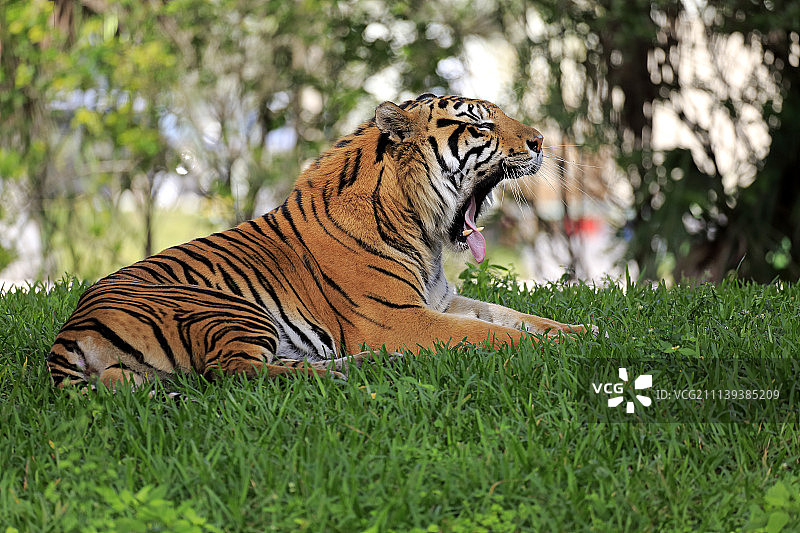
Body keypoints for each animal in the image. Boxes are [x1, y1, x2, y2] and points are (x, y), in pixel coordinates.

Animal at [47, 93, 597, 389]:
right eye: (480, 123)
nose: (540, 142)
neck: (422, 234)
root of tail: (68, 331)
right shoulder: (400, 318)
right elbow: (493, 333)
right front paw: (559, 349)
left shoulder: (443, 300)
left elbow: (512, 315)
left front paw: (584, 331)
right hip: (230, 309)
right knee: (235, 372)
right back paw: (349, 372)